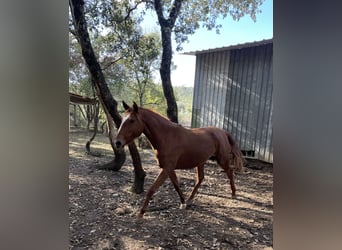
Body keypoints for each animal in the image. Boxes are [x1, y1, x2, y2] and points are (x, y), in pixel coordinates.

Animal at [115, 101, 243, 217]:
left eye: (132, 120)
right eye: (122, 119)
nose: (117, 142)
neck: (166, 136)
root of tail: (223, 132)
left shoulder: (167, 168)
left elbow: (152, 189)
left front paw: (141, 214)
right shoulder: (168, 168)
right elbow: (176, 185)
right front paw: (183, 202)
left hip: (222, 160)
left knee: (230, 172)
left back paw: (233, 193)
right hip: (201, 162)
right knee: (200, 178)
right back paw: (190, 200)